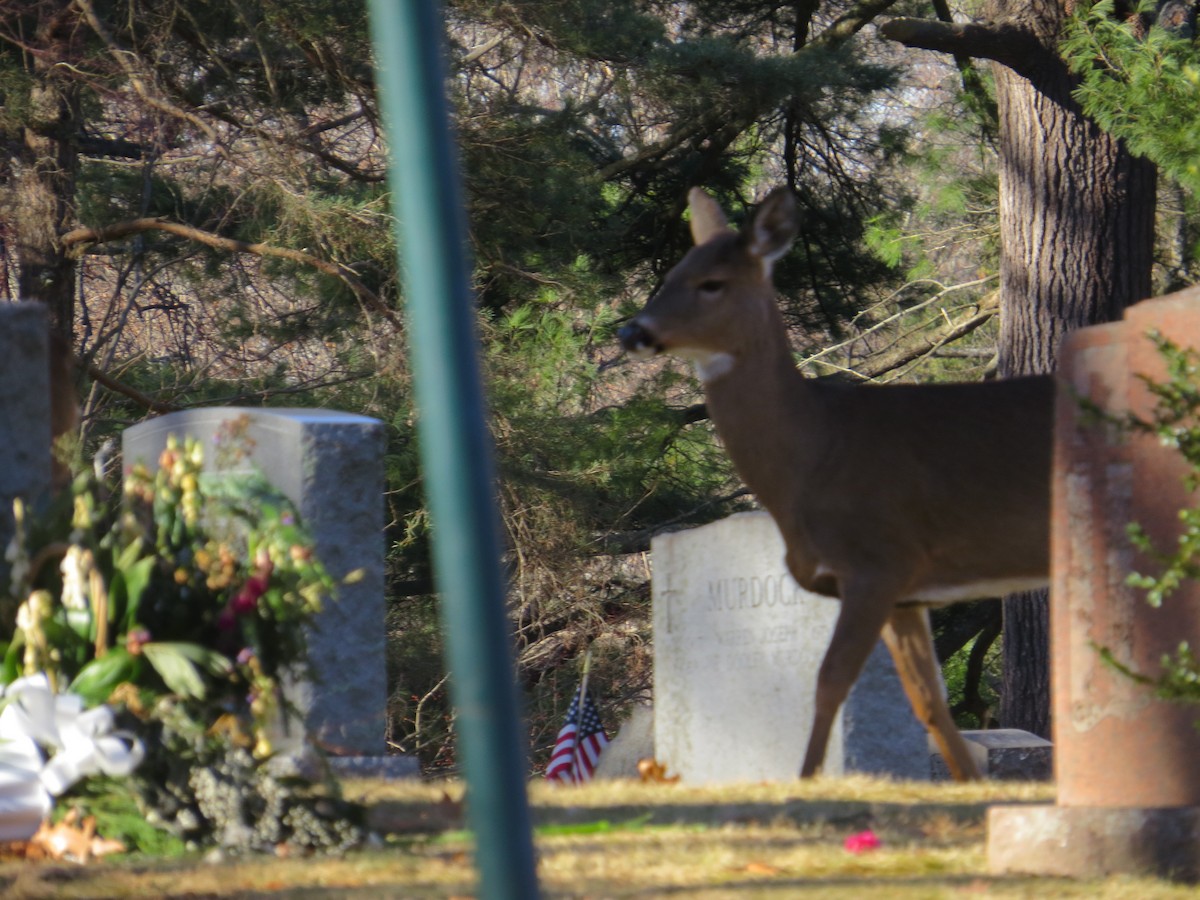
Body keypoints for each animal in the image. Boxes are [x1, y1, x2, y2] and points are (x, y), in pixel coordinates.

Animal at [618, 187, 1053, 781]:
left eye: (712, 283)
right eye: (668, 275)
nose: (631, 331)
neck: (815, 453)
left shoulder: (877, 560)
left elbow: (828, 685)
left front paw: (805, 786)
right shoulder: (907, 593)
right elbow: (929, 705)